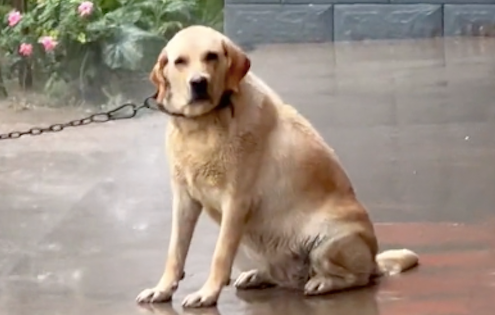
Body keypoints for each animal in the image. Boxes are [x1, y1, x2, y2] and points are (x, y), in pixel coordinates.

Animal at [136, 26, 418, 308]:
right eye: (180, 62)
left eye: (211, 56)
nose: (198, 82)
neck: (202, 125)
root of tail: (373, 260)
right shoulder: (184, 199)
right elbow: (175, 251)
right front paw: (162, 289)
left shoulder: (236, 202)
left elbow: (220, 255)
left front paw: (207, 293)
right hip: (253, 245)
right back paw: (258, 275)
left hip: (327, 240)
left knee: (357, 277)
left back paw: (322, 282)